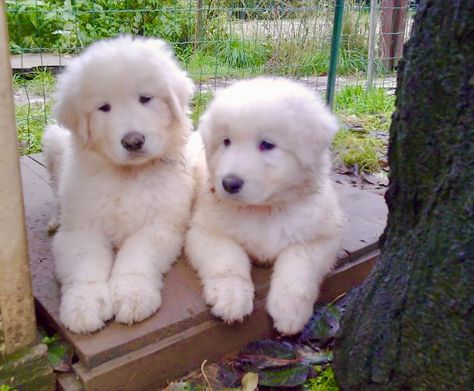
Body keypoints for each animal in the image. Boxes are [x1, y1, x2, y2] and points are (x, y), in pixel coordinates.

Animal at [183, 78, 342, 336]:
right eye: (226, 142)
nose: (229, 183)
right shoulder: (205, 232)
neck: (264, 210)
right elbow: (229, 261)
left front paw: (289, 311)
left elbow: (298, 266)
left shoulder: (322, 237)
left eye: (267, 144)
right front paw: (231, 298)